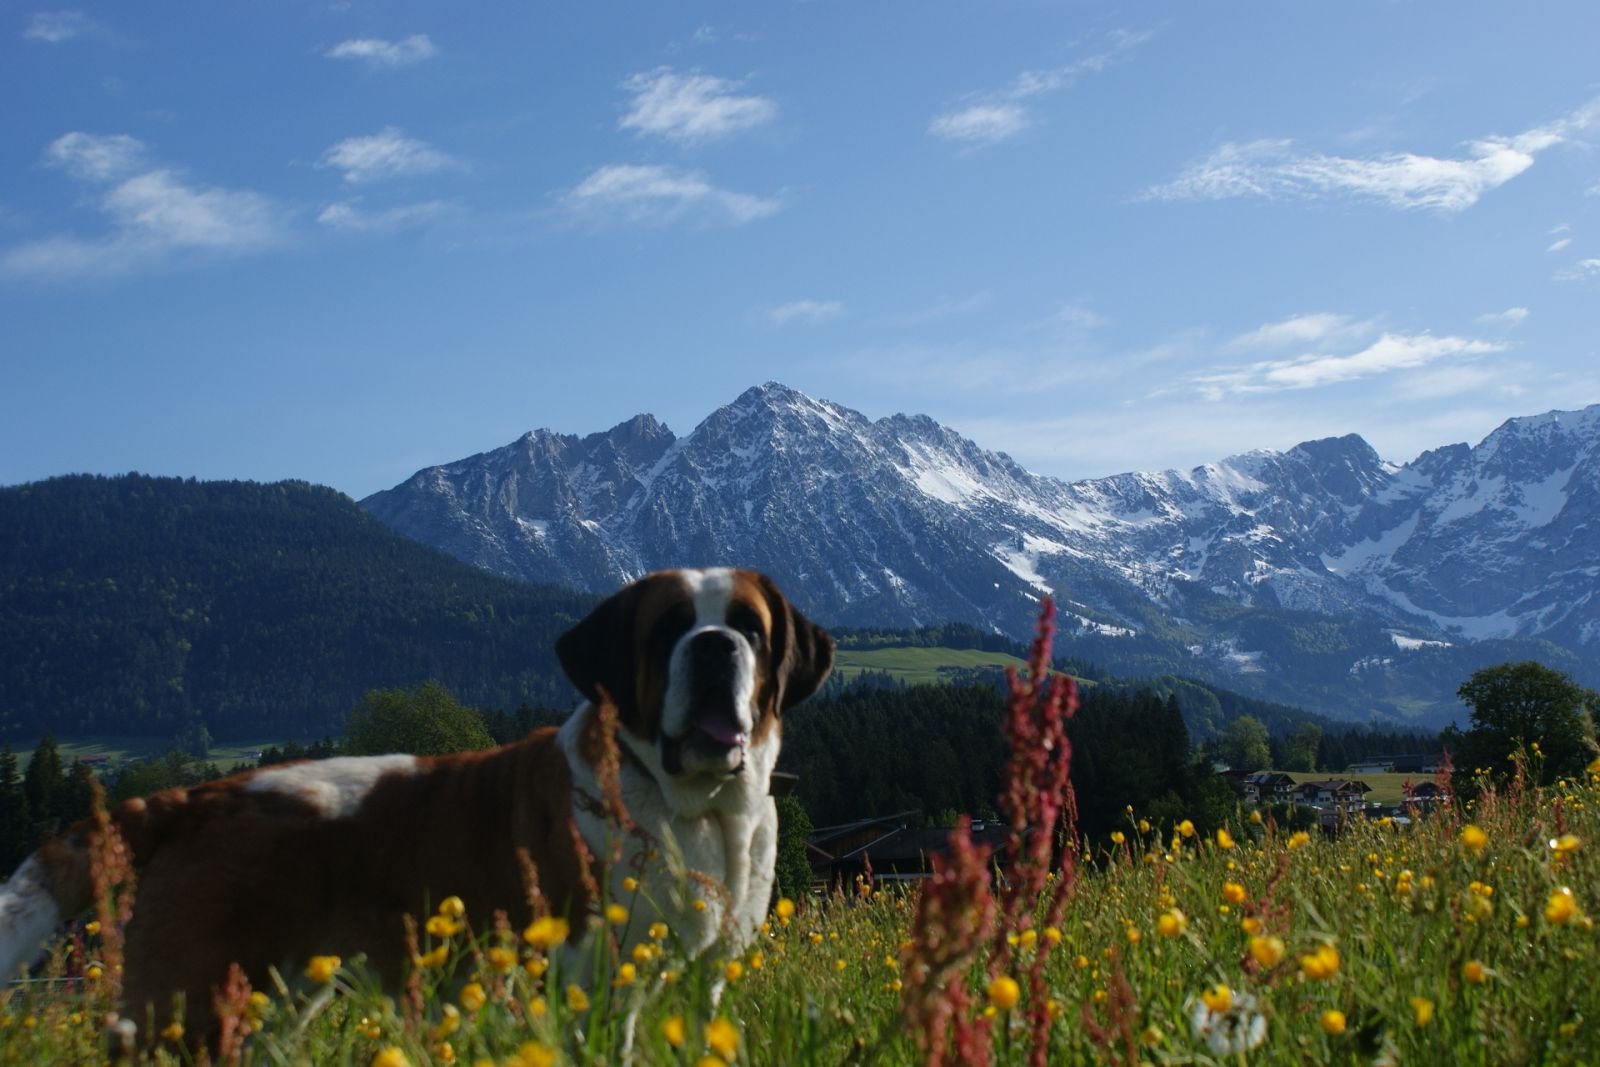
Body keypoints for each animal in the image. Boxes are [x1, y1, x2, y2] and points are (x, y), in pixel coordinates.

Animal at [0, 566, 832, 1043]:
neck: (691, 805)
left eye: (749, 626)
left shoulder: (707, 978)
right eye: (667, 630)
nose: (717, 644)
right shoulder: (588, 983)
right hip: (193, 1004)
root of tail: (196, 796)